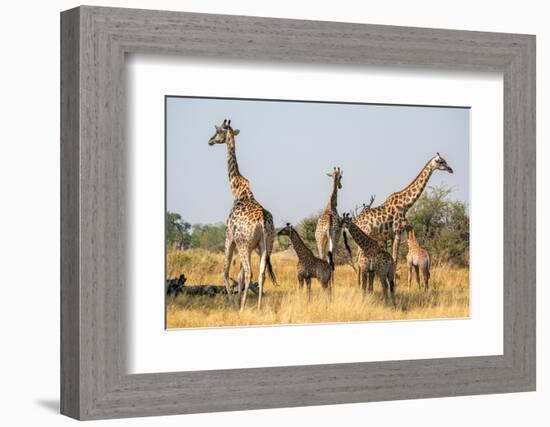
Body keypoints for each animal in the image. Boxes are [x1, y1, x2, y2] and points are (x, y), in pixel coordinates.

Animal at [208, 119, 278, 310]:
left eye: (217, 131)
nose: (210, 141)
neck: (238, 190)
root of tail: (262, 220)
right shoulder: (251, 245)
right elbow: (238, 276)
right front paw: (239, 301)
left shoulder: (230, 237)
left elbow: (225, 272)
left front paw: (234, 304)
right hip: (266, 245)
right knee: (261, 275)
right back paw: (259, 307)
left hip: (243, 244)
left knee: (249, 273)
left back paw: (241, 307)